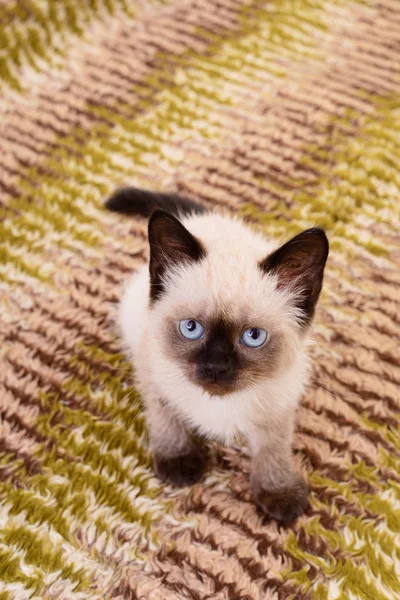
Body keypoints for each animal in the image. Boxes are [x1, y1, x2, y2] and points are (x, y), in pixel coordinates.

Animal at [106, 188, 328, 520]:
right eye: (191, 328)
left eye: (253, 336)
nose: (215, 367)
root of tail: (205, 218)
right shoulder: (154, 378)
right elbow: (167, 421)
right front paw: (179, 462)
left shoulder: (280, 405)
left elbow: (273, 450)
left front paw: (278, 492)